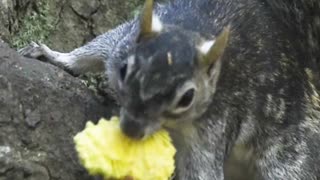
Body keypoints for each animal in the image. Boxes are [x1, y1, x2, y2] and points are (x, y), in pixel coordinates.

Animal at [18, 0, 320, 179]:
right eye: (124, 70)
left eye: (187, 98)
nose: (132, 130)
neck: (195, 30)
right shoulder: (122, 40)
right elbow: (91, 50)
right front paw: (52, 55)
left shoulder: (215, 127)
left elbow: (202, 172)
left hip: (288, 158)